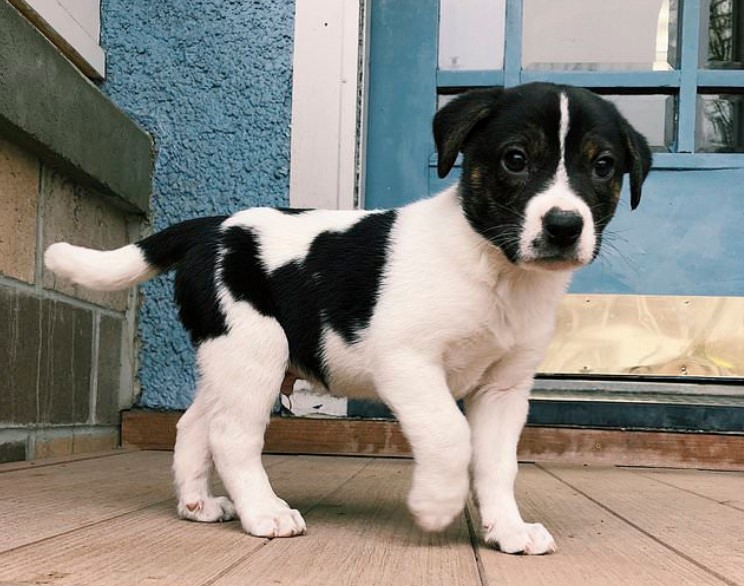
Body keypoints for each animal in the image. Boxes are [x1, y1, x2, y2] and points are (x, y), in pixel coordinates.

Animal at [48, 81, 652, 552]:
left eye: (603, 167)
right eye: (516, 159)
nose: (564, 226)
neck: (494, 269)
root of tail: (211, 227)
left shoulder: (504, 390)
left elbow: (497, 464)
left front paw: (508, 529)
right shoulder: (406, 362)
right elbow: (450, 435)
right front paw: (435, 504)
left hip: (233, 358)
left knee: (195, 424)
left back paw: (198, 504)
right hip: (255, 352)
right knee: (230, 434)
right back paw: (265, 513)